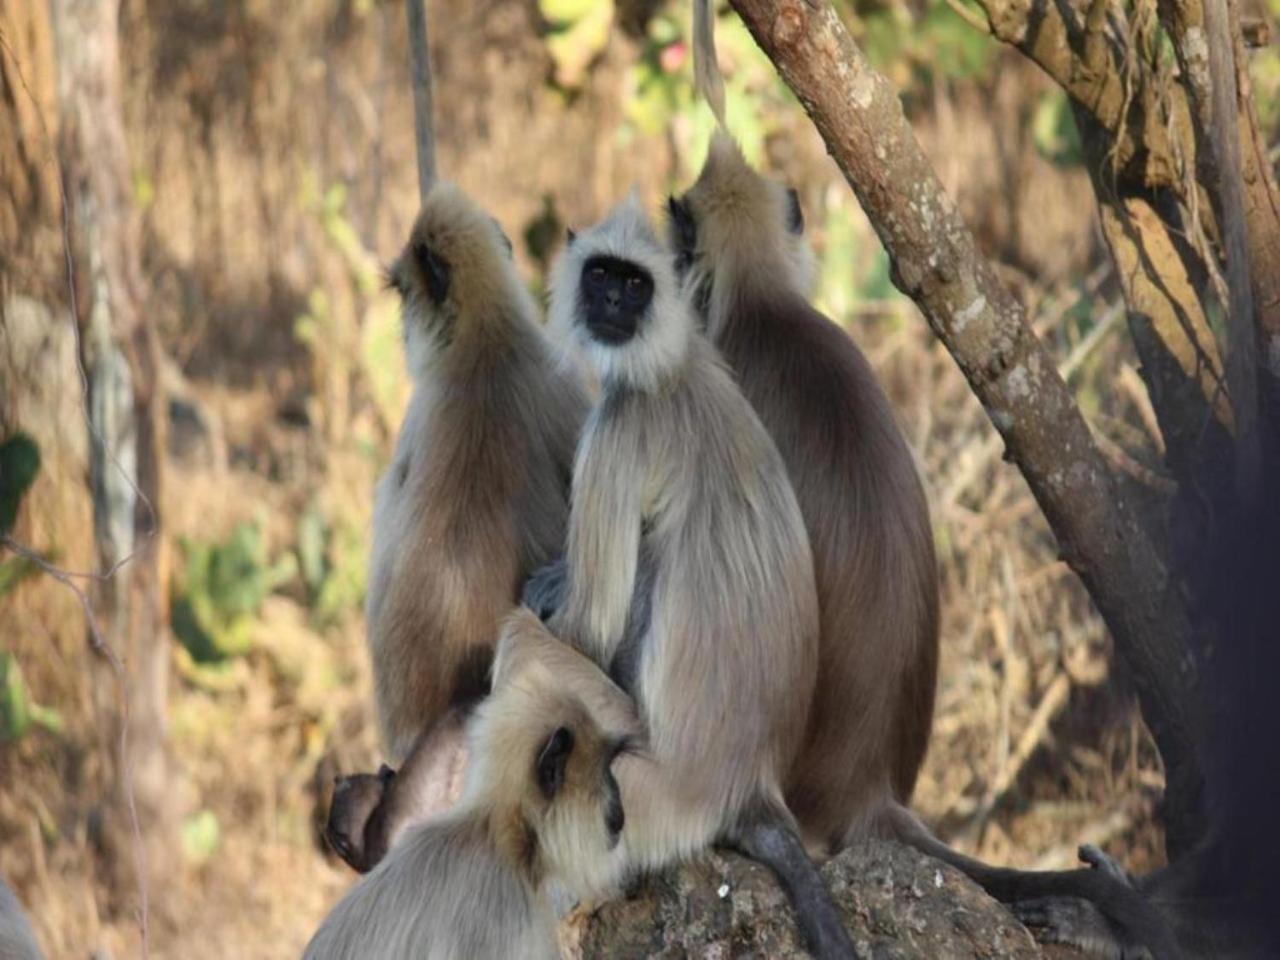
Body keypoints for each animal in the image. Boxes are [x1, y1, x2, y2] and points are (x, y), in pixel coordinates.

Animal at [529, 197, 860, 960]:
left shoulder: (620, 424)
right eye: (601, 275)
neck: (674, 361)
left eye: (635, 285)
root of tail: (752, 787)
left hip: (641, 797)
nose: (611, 304)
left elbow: (587, 626)